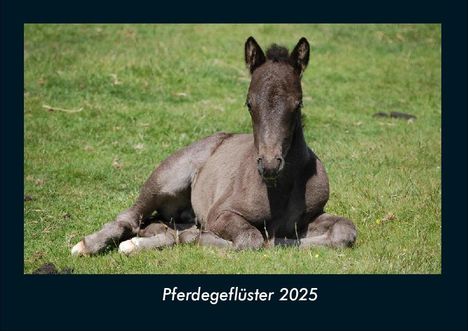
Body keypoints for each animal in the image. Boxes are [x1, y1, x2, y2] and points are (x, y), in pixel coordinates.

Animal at [71, 36, 356, 255]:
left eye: (298, 104)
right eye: (249, 103)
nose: (269, 165)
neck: (278, 190)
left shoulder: (310, 216)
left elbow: (345, 230)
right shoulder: (220, 213)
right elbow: (250, 239)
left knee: (160, 226)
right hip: (168, 178)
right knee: (131, 216)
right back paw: (87, 245)